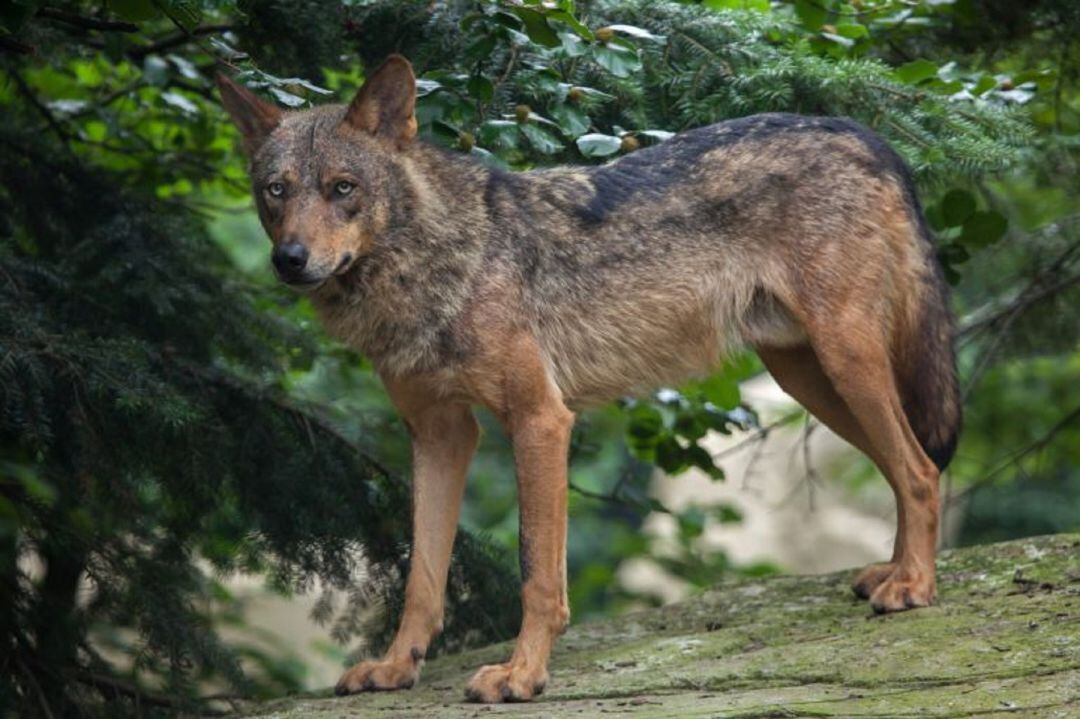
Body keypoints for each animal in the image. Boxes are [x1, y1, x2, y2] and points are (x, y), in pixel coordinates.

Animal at [219, 54, 963, 699]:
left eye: (342, 189)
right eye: (275, 192)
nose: (289, 259)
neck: (435, 263)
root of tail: (862, 132)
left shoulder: (540, 420)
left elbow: (536, 576)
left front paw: (521, 675)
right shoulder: (439, 434)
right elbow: (423, 578)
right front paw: (397, 667)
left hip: (846, 362)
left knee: (920, 470)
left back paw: (914, 588)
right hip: (810, 380)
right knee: (910, 466)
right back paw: (894, 573)